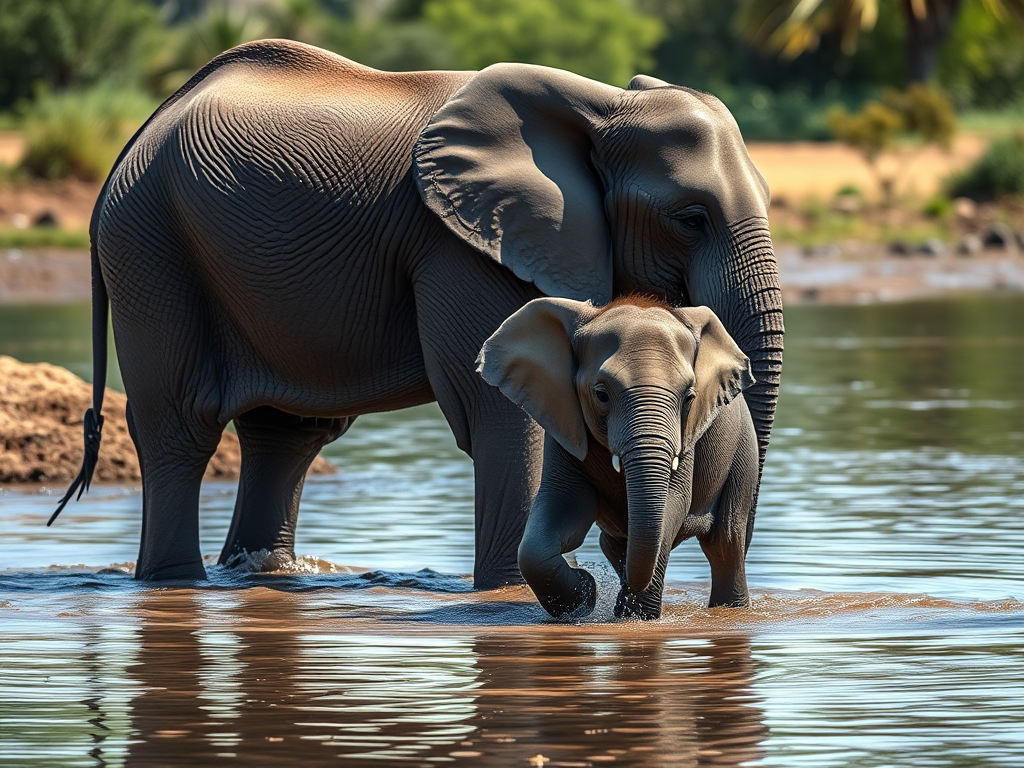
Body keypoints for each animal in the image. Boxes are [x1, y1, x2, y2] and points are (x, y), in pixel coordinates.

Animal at [478, 296, 757, 619]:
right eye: (601, 395)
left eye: (689, 398)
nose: (591, 581)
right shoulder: (563, 426)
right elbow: (561, 506)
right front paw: (586, 595)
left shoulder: (687, 436)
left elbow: (673, 502)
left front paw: (634, 617)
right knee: (615, 544)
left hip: (743, 452)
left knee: (725, 542)